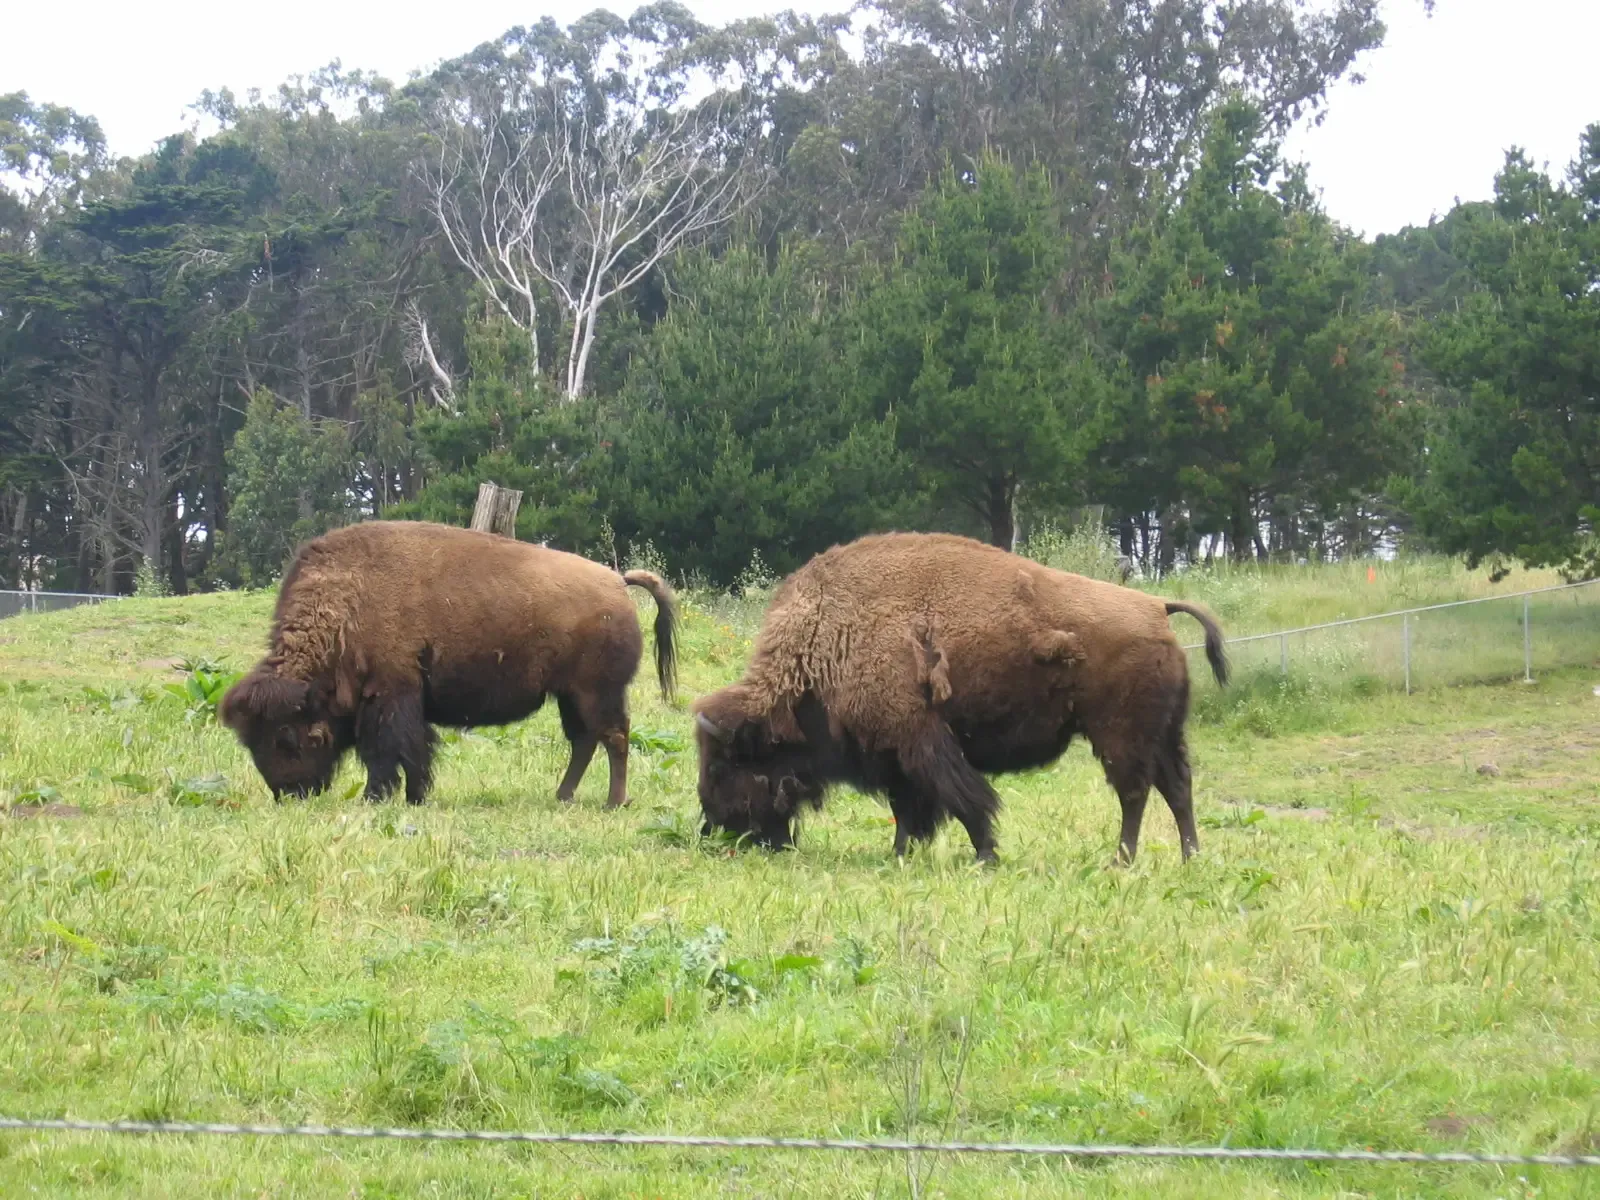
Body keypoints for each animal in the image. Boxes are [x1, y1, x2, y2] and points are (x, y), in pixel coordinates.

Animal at [220, 520, 676, 808]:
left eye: (286, 737)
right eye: (249, 741)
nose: (288, 794)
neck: (345, 606)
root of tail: (616, 581)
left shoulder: (388, 697)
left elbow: (387, 752)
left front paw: (377, 798)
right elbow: (417, 751)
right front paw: (415, 796)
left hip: (597, 692)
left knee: (613, 737)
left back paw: (613, 802)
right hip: (569, 695)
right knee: (584, 740)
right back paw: (563, 796)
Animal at [693, 532, 1227, 864]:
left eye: (723, 764)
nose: (713, 825)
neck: (826, 642)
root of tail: (1156, 607)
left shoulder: (921, 741)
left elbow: (964, 799)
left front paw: (984, 855)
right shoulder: (895, 755)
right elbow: (909, 809)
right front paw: (901, 854)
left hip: (1119, 736)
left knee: (1135, 794)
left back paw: (1121, 861)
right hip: (1164, 734)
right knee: (1177, 789)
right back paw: (1190, 857)